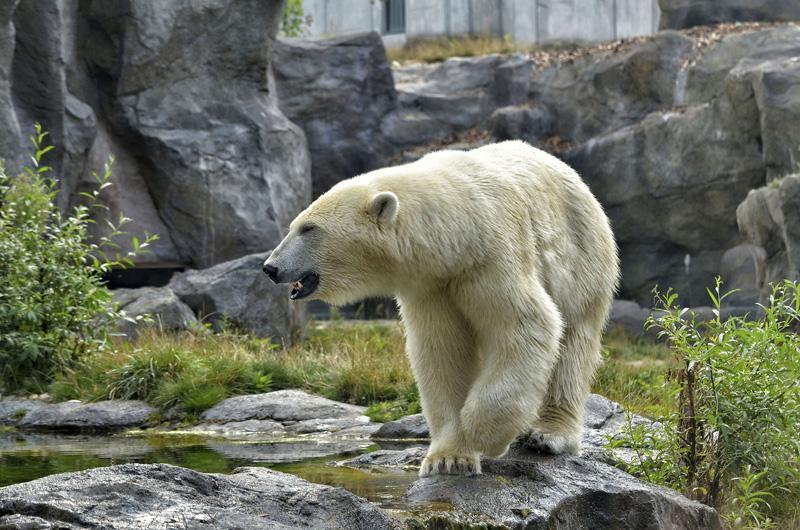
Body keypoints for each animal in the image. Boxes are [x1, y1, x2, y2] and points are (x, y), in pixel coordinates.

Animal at [263, 140, 619, 476]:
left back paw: (549, 435)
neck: (456, 231)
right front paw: (449, 459)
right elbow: (442, 351)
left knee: (573, 345)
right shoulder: (431, 285)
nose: (270, 267)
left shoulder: (491, 258)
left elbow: (526, 326)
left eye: (308, 228)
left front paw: (485, 434)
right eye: (296, 225)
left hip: (583, 258)